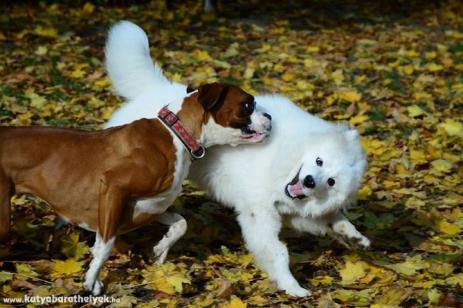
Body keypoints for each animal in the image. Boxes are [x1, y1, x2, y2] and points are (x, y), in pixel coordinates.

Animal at [0, 83, 272, 294]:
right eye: (248, 105)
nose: (269, 117)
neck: (176, 134)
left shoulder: (151, 205)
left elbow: (181, 224)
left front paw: (161, 250)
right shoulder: (113, 188)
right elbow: (105, 246)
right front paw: (91, 281)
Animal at [104, 21, 370, 296]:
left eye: (331, 182)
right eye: (319, 161)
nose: (309, 181)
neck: (283, 158)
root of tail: (156, 89)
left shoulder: (296, 212)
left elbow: (335, 218)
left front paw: (354, 236)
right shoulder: (258, 215)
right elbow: (278, 253)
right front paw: (292, 287)